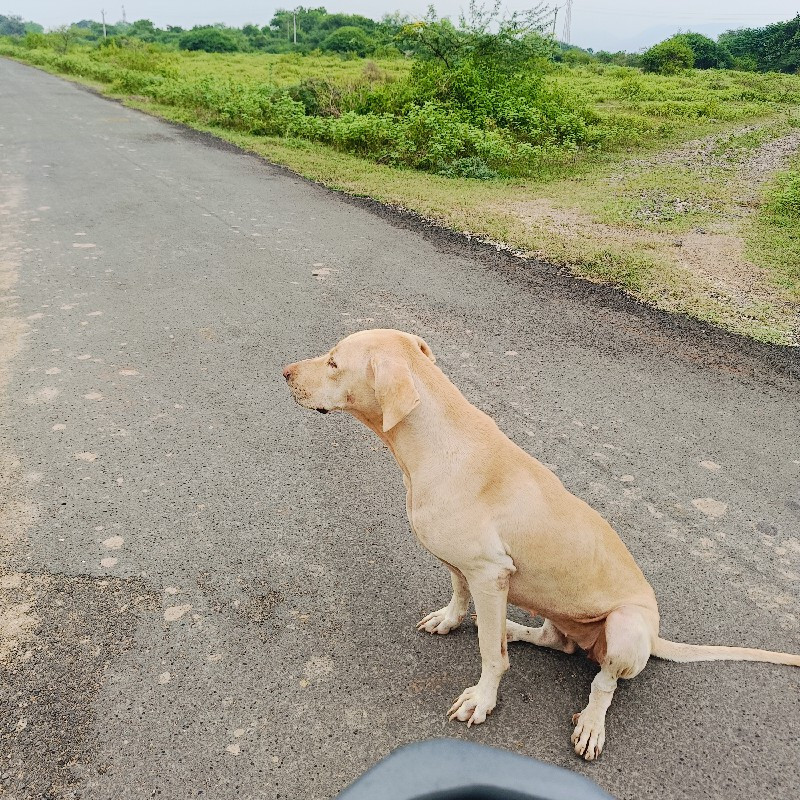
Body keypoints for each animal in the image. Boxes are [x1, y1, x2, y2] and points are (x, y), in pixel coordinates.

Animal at [284, 328, 796, 760]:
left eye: (334, 362)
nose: (285, 373)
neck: (433, 442)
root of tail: (654, 636)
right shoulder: (464, 566)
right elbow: (459, 594)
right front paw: (452, 619)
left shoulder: (490, 573)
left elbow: (491, 656)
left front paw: (483, 698)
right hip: (557, 611)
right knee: (557, 642)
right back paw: (515, 628)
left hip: (625, 628)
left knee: (604, 682)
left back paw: (590, 722)